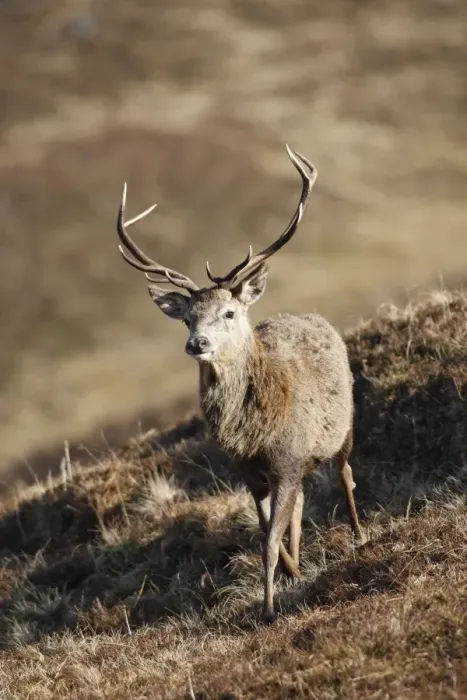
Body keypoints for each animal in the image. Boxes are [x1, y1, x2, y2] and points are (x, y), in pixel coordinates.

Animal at [115, 145, 364, 623]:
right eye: (188, 318)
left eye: (228, 313)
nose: (197, 343)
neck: (253, 433)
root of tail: (314, 317)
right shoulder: (250, 472)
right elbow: (267, 531)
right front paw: (291, 573)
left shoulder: (287, 459)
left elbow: (268, 540)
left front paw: (268, 609)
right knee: (301, 505)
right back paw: (300, 561)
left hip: (344, 426)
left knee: (345, 474)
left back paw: (360, 535)